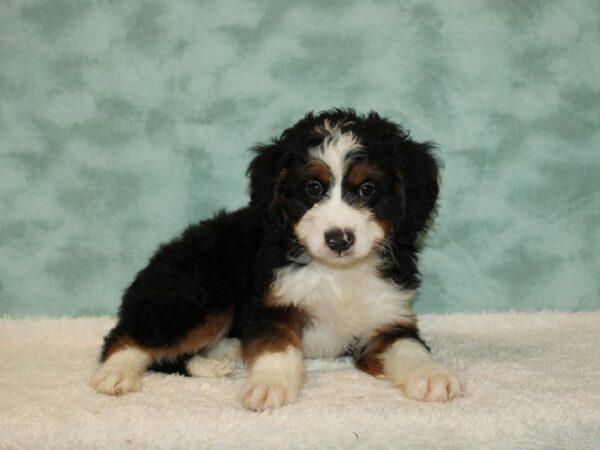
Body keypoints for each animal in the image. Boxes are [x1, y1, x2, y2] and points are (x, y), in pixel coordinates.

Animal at [90, 110, 464, 412]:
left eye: (367, 189)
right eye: (314, 189)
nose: (339, 239)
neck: (336, 273)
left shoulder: (387, 318)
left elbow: (409, 348)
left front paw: (433, 376)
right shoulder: (271, 306)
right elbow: (278, 348)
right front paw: (269, 386)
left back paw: (219, 358)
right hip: (202, 293)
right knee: (126, 336)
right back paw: (116, 374)